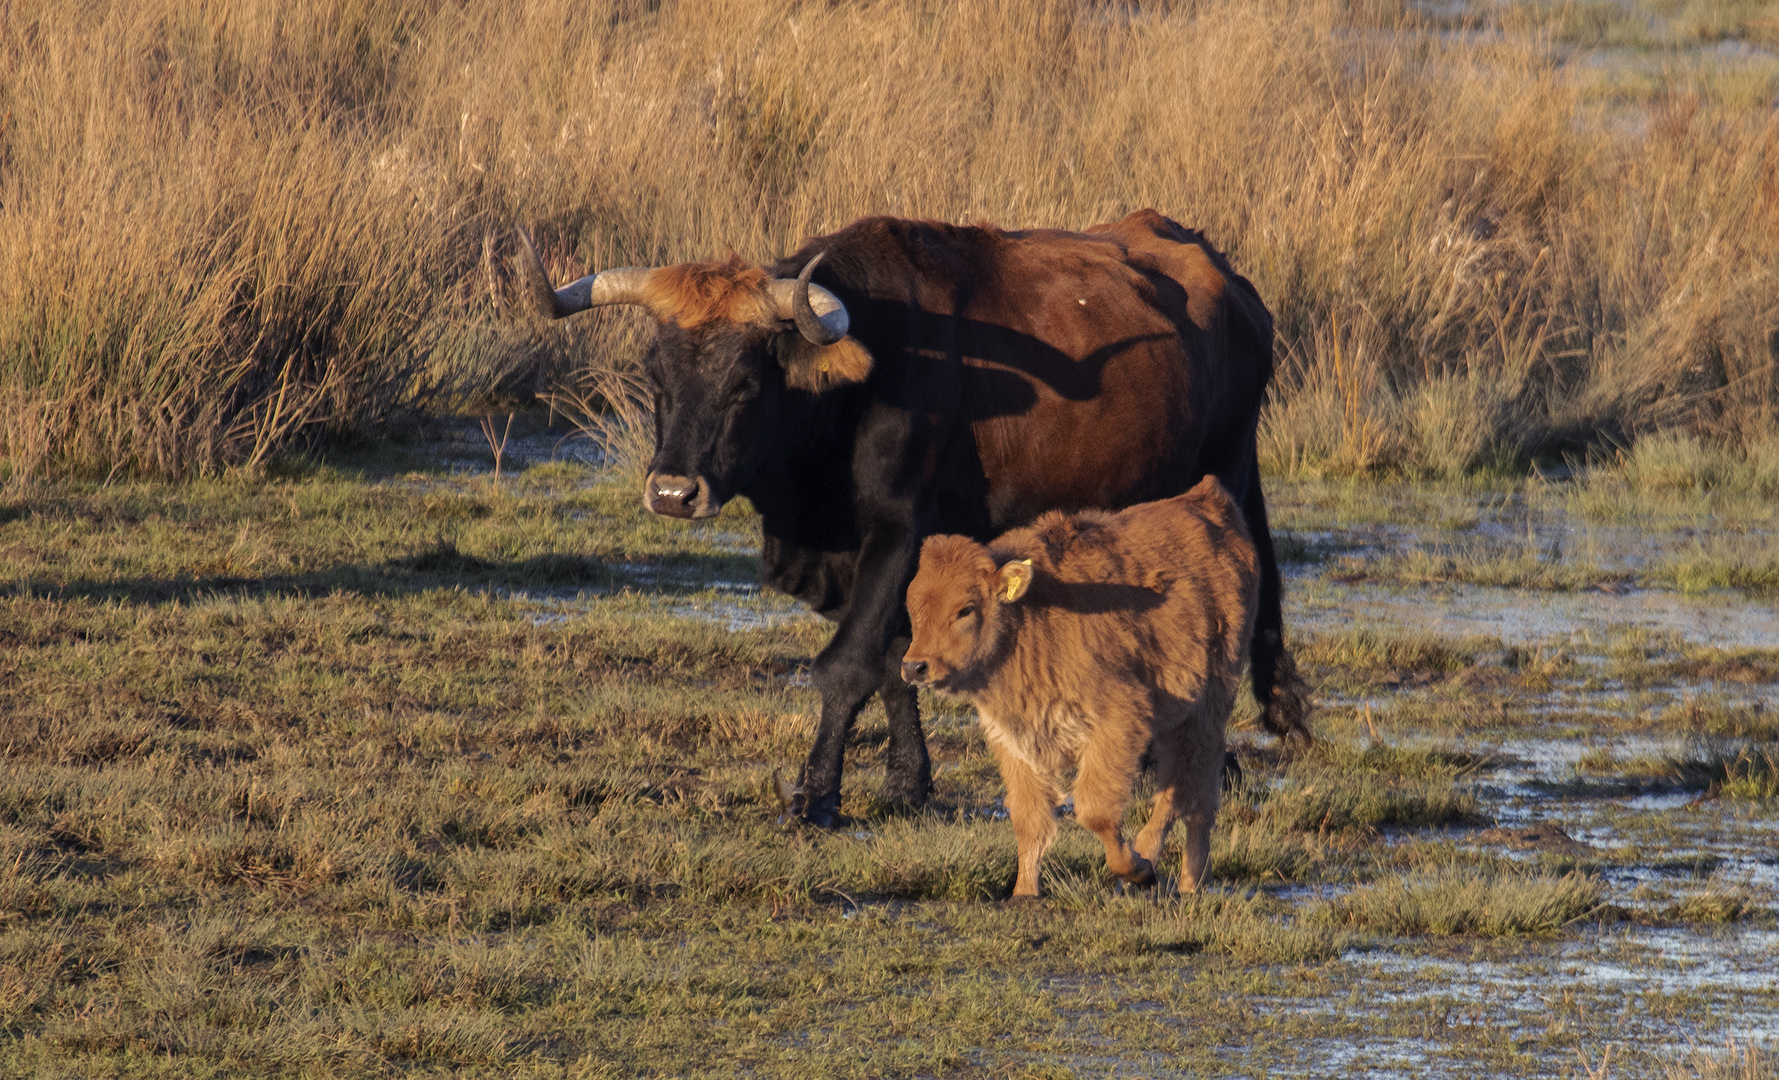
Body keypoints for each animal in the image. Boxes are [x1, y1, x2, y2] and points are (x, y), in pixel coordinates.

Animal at [515, 207, 1309, 825]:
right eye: (656, 376)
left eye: (745, 383)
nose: (674, 493)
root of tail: (1227, 280)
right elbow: (896, 660)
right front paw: (907, 784)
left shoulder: (900, 532)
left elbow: (846, 666)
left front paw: (816, 797)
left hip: (1222, 476)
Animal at [896, 476, 1259, 900]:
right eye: (913, 607)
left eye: (965, 609)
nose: (914, 666)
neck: (1026, 620)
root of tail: (1206, 498)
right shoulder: (1014, 741)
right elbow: (1029, 820)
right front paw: (1023, 893)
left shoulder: (1119, 720)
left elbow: (1095, 811)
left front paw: (1135, 868)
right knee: (1186, 790)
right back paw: (1188, 877)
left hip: (1206, 710)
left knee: (1190, 792)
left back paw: (1176, 876)